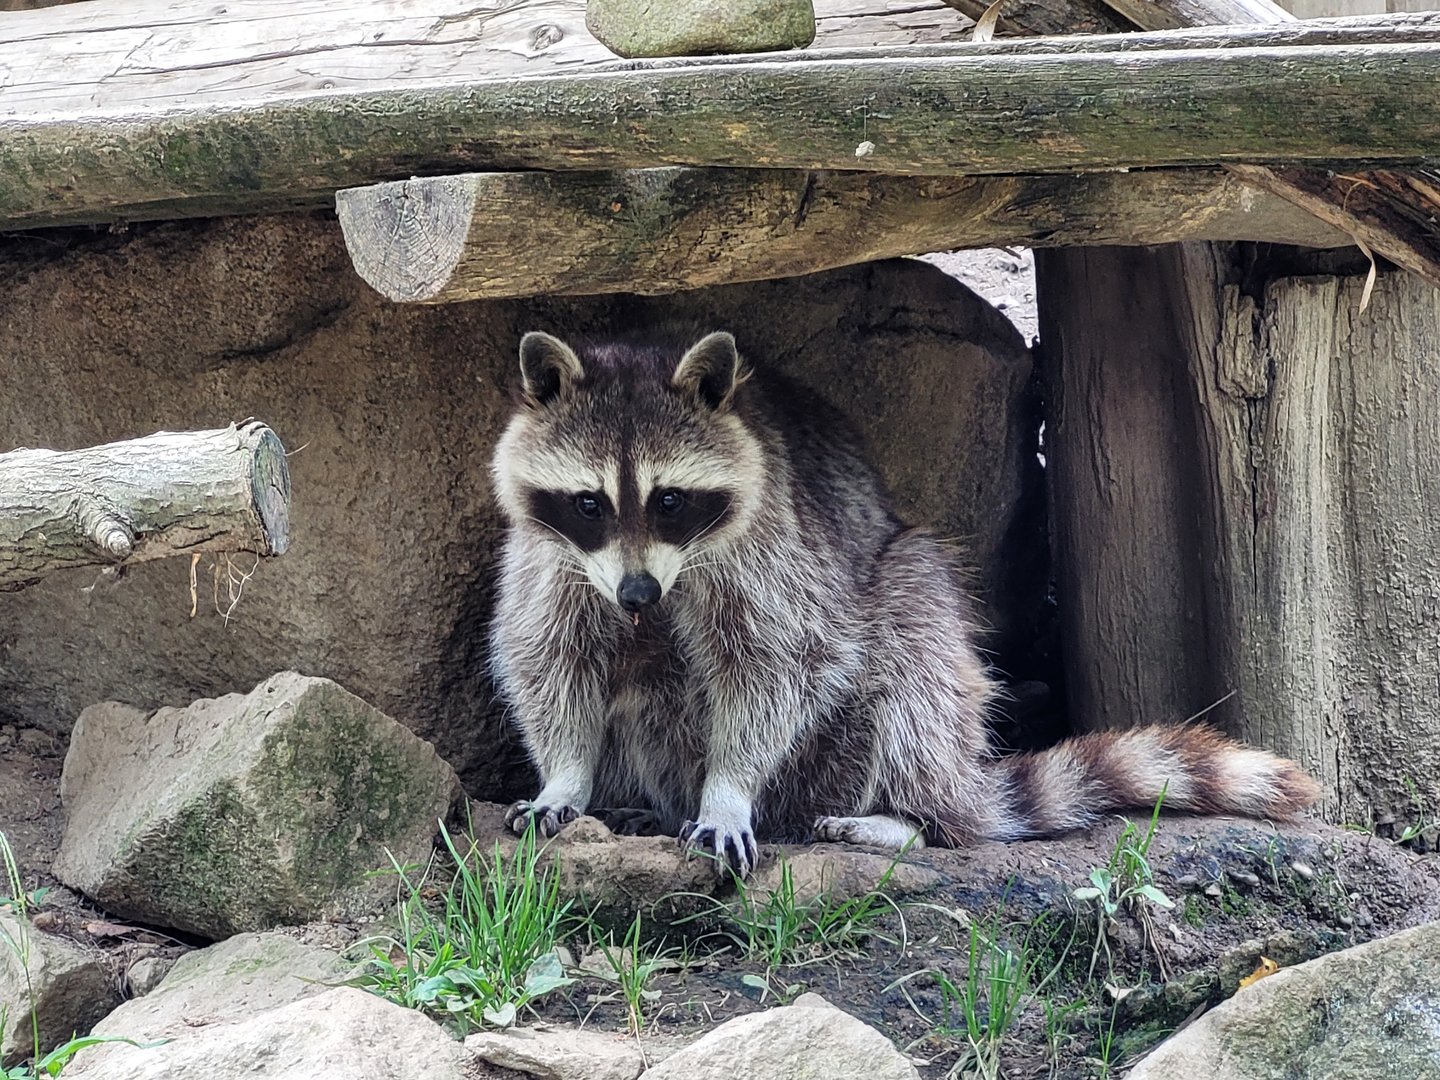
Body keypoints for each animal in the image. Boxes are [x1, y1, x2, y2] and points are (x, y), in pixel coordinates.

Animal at [488, 327, 1320, 878]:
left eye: (669, 500)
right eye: (590, 503)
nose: (639, 593)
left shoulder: (772, 555)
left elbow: (778, 665)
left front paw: (728, 789)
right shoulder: (552, 561)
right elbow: (547, 659)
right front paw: (568, 775)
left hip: (888, 635)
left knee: (914, 648)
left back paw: (913, 818)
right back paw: (639, 802)